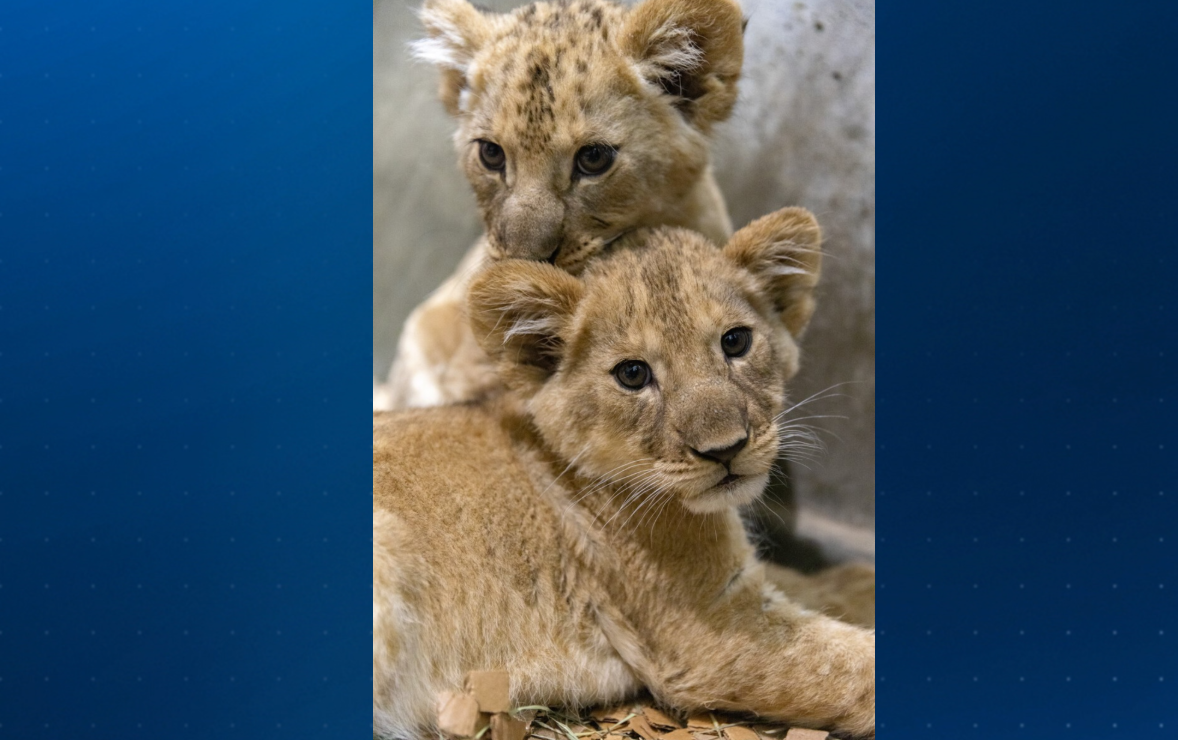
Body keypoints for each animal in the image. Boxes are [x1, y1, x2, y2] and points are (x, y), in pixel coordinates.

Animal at [373, 207, 875, 738]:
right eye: (633, 375)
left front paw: (862, 578)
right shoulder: (715, 632)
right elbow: (851, 667)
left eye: (736, 341)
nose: (726, 450)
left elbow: (807, 582)